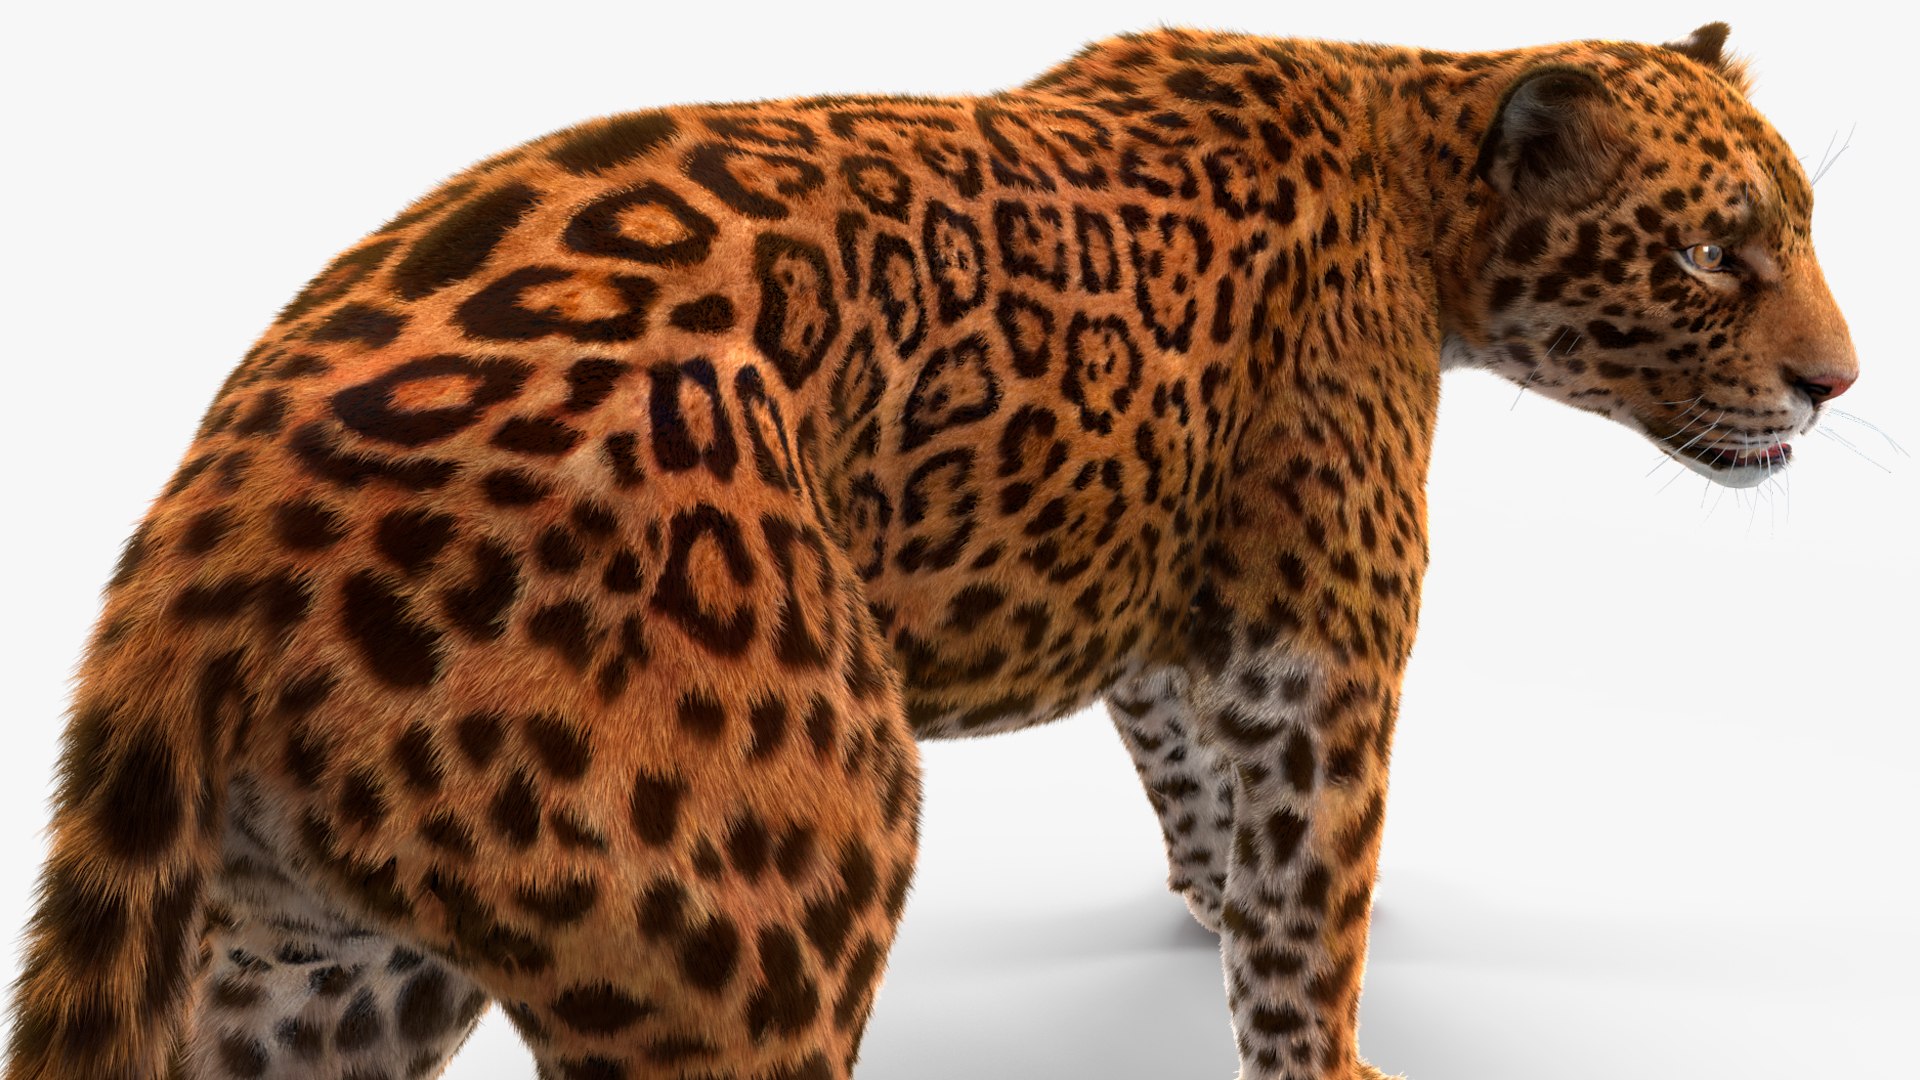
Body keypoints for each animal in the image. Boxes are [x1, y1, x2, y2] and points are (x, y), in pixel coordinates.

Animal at [4, 19, 1856, 1080]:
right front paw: (1321, 1044)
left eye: (1802, 232)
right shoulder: (1321, 642)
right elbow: (1312, 894)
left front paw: (1207, 896)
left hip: (321, 954)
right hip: (764, 917)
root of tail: (203, 536)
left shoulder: (1173, 619)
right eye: (1711, 255)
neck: (1418, 166)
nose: (1839, 386)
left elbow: (1194, 786)